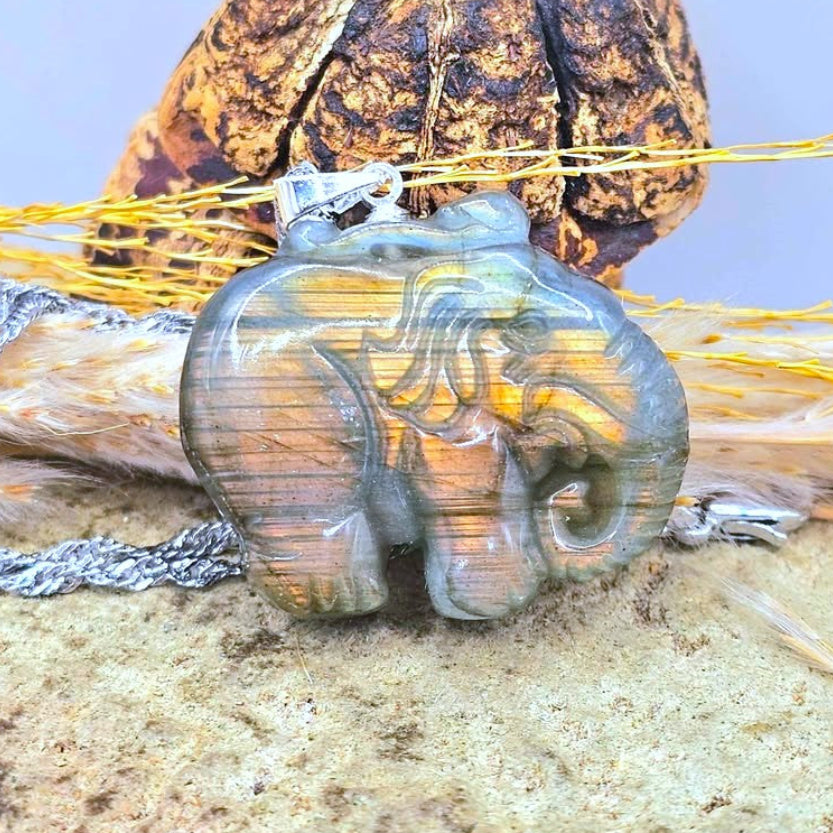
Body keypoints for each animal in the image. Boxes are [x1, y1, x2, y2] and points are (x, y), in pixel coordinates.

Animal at [181, 191, 689, 620]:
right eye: (529, 331)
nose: (571, 497)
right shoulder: (446, 427)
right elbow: (474, 497)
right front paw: (494, 604)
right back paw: (342, 604)